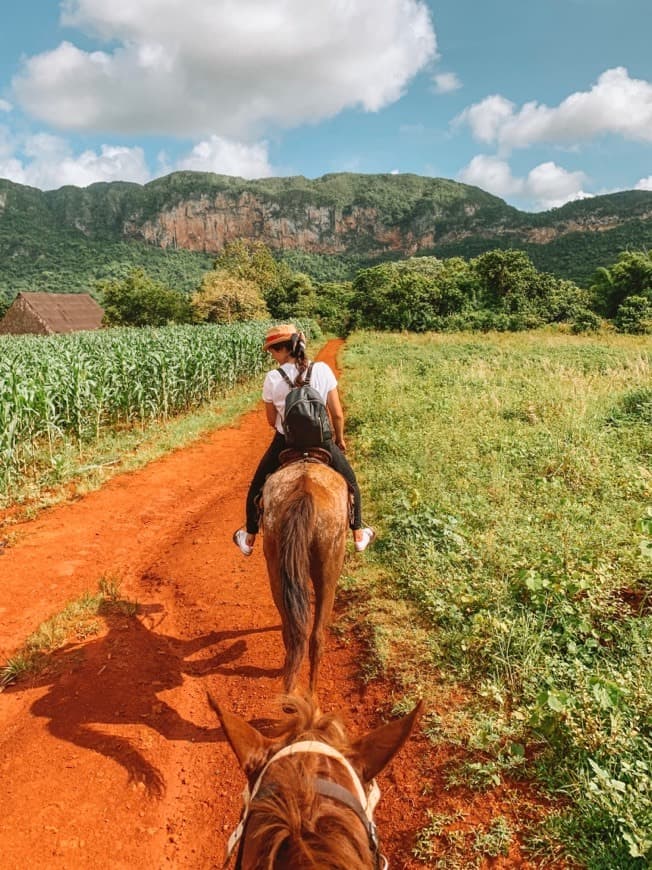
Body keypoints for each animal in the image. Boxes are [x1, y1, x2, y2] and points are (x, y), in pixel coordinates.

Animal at [262, 460, 348, 700]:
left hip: (275, 564)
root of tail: (305, 489)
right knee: (317, 637)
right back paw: (311, 695)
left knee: (292, 632)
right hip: (329, 569)